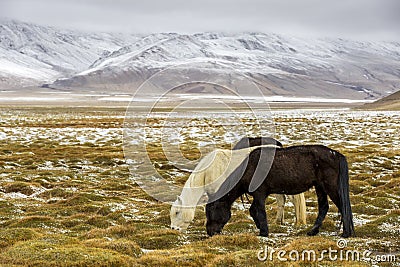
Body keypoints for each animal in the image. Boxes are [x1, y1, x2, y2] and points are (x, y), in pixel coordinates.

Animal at [205, 147, 354, 239]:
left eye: (212, 209)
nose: (210, 232)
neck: (250, 167)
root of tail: (335, 154)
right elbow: (253, 211)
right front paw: (261, 229)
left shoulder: (259, 194)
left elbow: (259, 211)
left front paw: (264, 232)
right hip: (320, 187)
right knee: (324, 207)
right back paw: (312, 231)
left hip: (329, 186)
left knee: (341, 206)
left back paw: (346, 233)